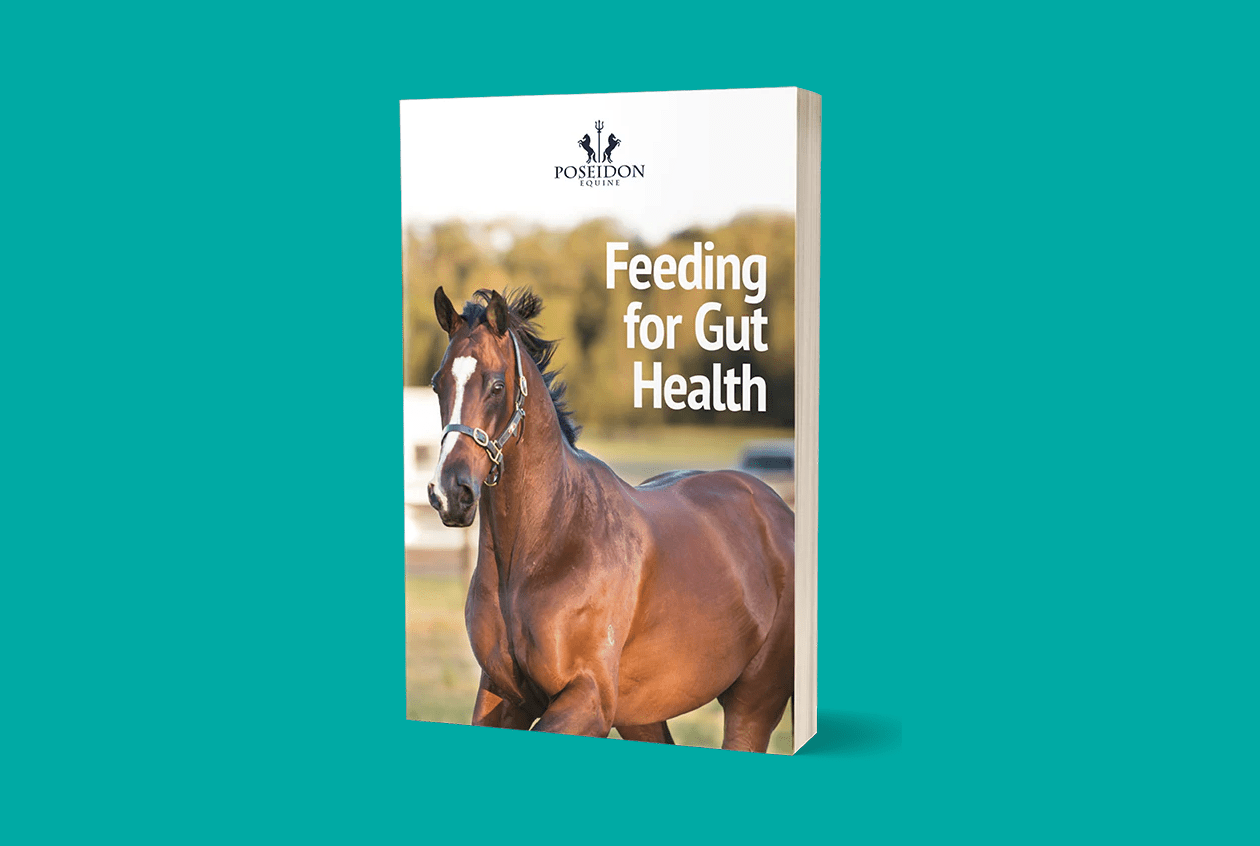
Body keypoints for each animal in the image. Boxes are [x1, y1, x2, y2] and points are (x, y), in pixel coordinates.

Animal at [426, 287, 795, 752]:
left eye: (496, 385)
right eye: (438, 383)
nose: (450, 493)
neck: (545, 545)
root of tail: (783, 516)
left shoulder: (589, 699)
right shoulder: (503, 694)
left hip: (754, 702)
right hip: (643, 715)